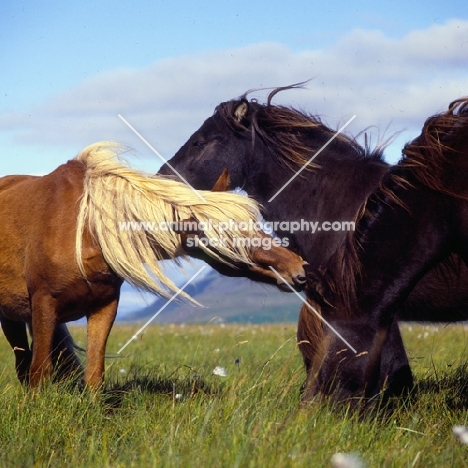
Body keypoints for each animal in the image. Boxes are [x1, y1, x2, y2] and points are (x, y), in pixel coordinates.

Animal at [0, 143, 308, 388]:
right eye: (230, 238)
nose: (299, 269)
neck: (86, 230)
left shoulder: (104, 308)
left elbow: (94, 374)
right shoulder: (44, 305)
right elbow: (39, 372)